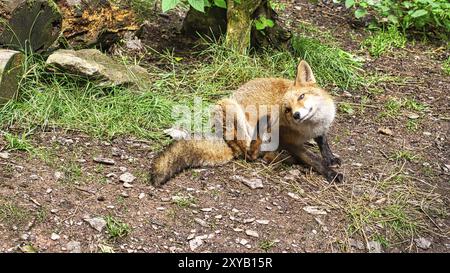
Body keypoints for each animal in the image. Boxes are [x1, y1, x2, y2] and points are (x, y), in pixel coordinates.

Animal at [149, 60, 342, 186]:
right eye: (287, 109)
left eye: (302, 96)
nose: (296, 115)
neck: (311, 127)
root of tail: (225, 142)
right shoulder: (288, 141)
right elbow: (313, 159)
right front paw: (330, 172)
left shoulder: (321, 128)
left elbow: (323, 143)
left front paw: (330, 158)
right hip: (229, 108)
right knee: (249, 154)